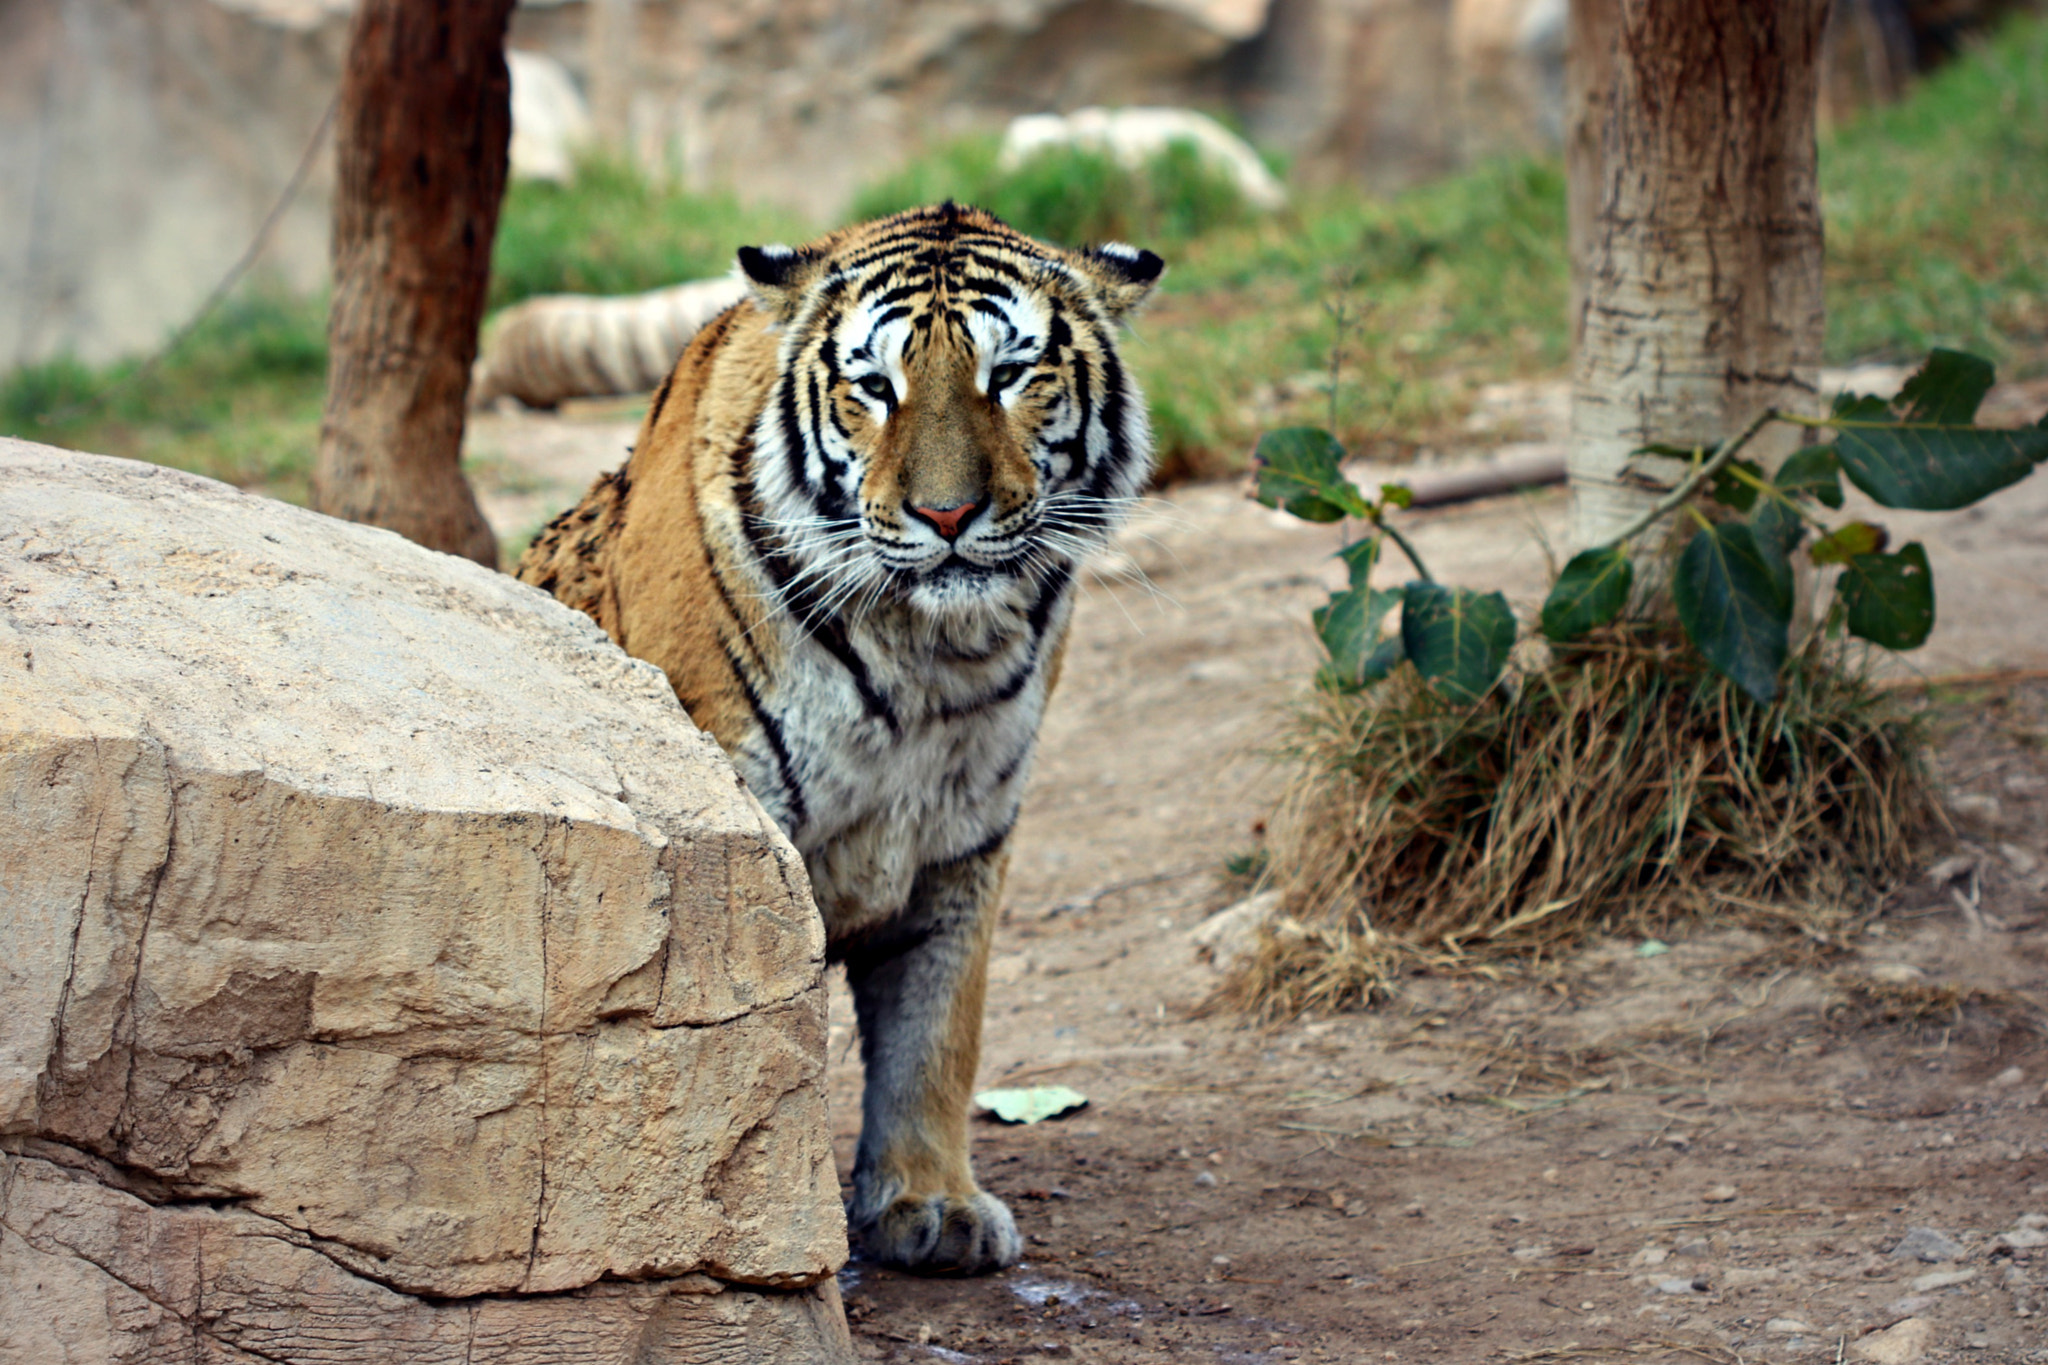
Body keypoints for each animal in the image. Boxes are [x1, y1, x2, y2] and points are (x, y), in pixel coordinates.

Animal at [515, 202, 1162, 1275]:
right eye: (875, 387)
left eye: (1010, 374)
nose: (948, 513)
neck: (934, 655)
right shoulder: (737, 844)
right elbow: (735, 1044)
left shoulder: (963, 846)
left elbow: (934, 1034)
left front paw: (932, 1203)